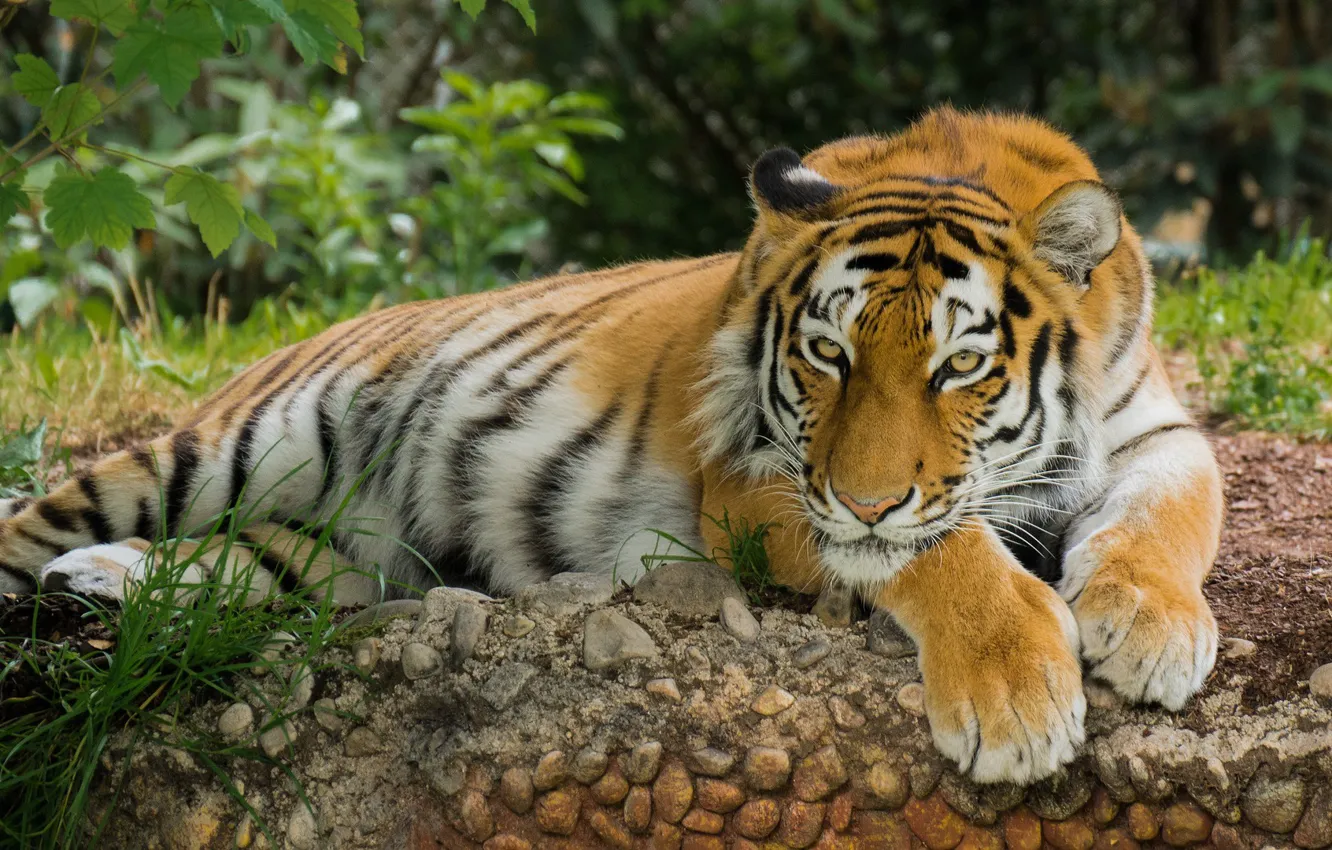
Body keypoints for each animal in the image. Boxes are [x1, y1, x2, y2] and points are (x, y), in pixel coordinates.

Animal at [0, 107, 1223, 784]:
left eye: (958, 367)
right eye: (828, 355)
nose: (866, 498)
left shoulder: (1158, 425)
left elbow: (1173, 513)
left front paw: (1151, 625)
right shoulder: (760, 480)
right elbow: (944, 547)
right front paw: (1019, 694)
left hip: (342, 553)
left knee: (265, 568)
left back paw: (107, 581)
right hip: (222, 447)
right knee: (32, 527)